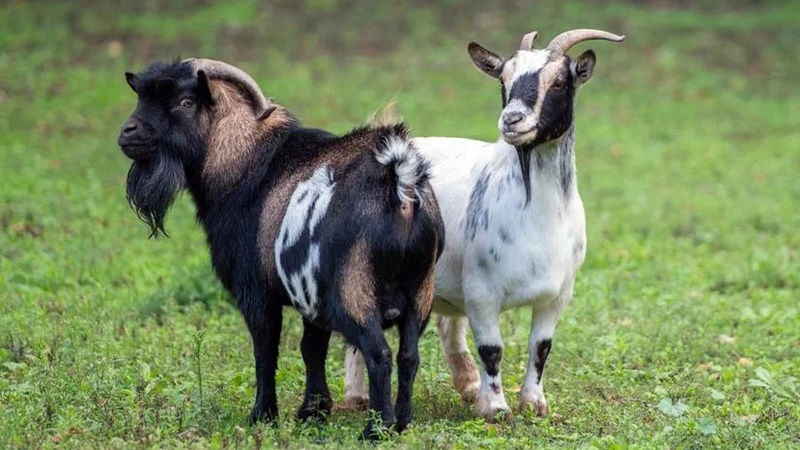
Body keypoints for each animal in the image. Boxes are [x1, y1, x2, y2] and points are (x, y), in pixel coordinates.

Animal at [117, 58, 443, 439]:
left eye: (186, 102)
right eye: (141, 96)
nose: (128, 132)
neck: (244, 163)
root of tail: (401, 185)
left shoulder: (255, 291)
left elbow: (265, 350)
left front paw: (262, 414)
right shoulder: (310, 297)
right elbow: (311, 349)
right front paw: (312, 411)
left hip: (354, 287)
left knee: (379, 354)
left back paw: (376, 430)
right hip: (420, 290)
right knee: (409, 356)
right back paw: (403, 422)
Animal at [345, 29, 625, 421]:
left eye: (559, 81)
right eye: (503, 80)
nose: (512, 120)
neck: (540, 220)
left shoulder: (558, 294)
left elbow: (541, 347)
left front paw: (533, 403)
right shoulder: (482, 290)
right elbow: (492, 349)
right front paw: (496, 408)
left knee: (449, 324)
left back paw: (467, 385)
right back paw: (356, 397)